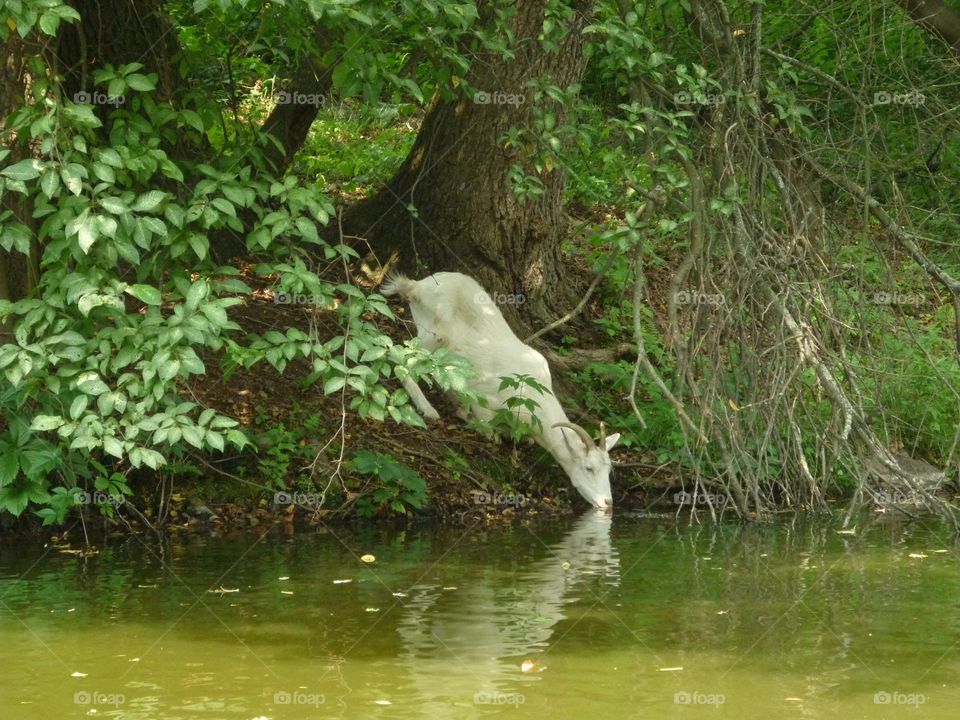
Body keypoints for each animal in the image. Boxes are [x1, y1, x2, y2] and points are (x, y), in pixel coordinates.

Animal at [382, 272, 624, 510]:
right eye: (588, 468)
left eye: (608, 470)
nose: (607, 503)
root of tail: (416, 287)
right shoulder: (484, 397)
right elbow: (486, 425)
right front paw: (472, 420)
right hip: (432, 337)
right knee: (401, 357)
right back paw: (428, 409)